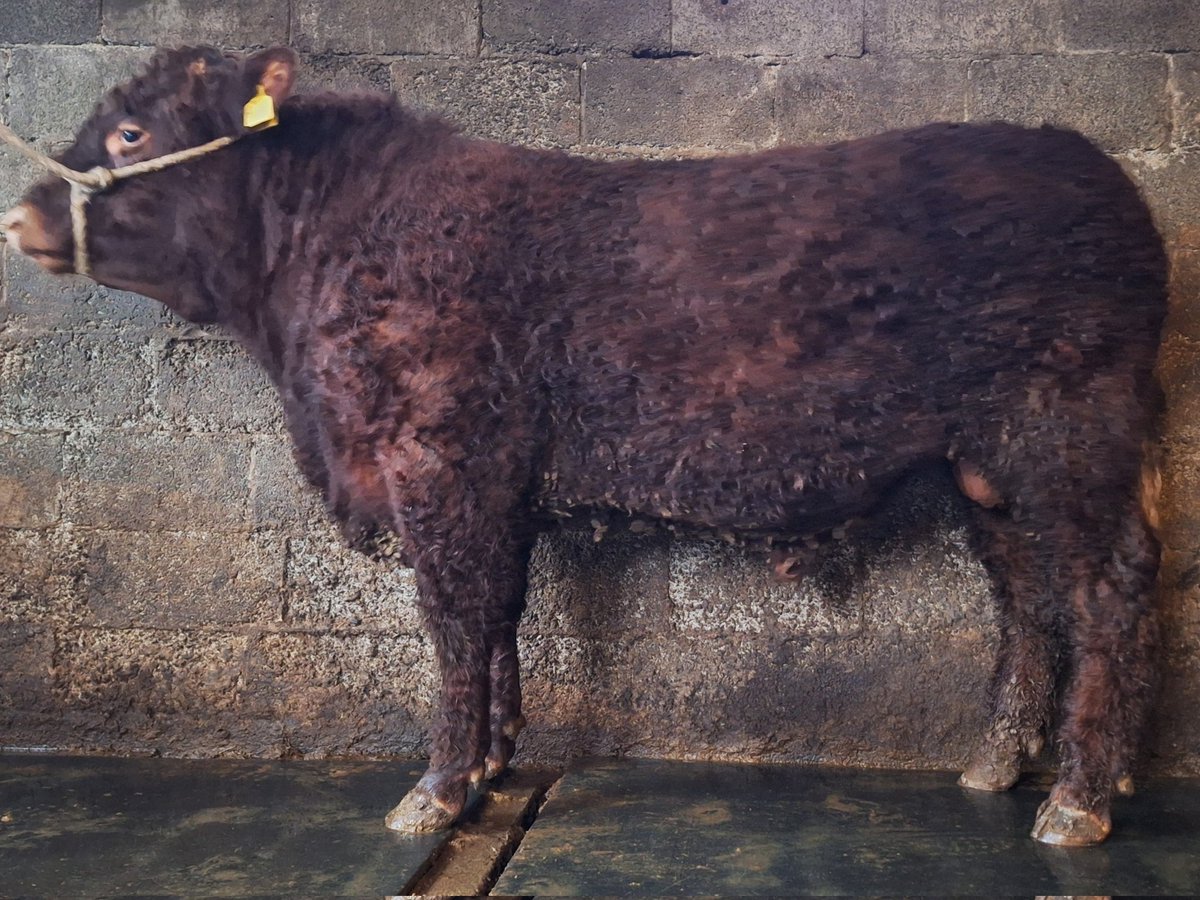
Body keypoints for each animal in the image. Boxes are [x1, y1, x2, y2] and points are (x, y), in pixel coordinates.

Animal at [0, 46, 1166, 846]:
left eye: (132, 134)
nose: (21, 216)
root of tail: (1089, 163)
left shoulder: (442, 463)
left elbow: (453, 623)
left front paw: (435, 791)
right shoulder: (497, 486)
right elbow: (499, 619)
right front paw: (493, 766)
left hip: (1068, 431)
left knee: (1108, 585)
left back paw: (1077, 799)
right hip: (989, 471)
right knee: (1029, 594)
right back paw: (1003, 765)